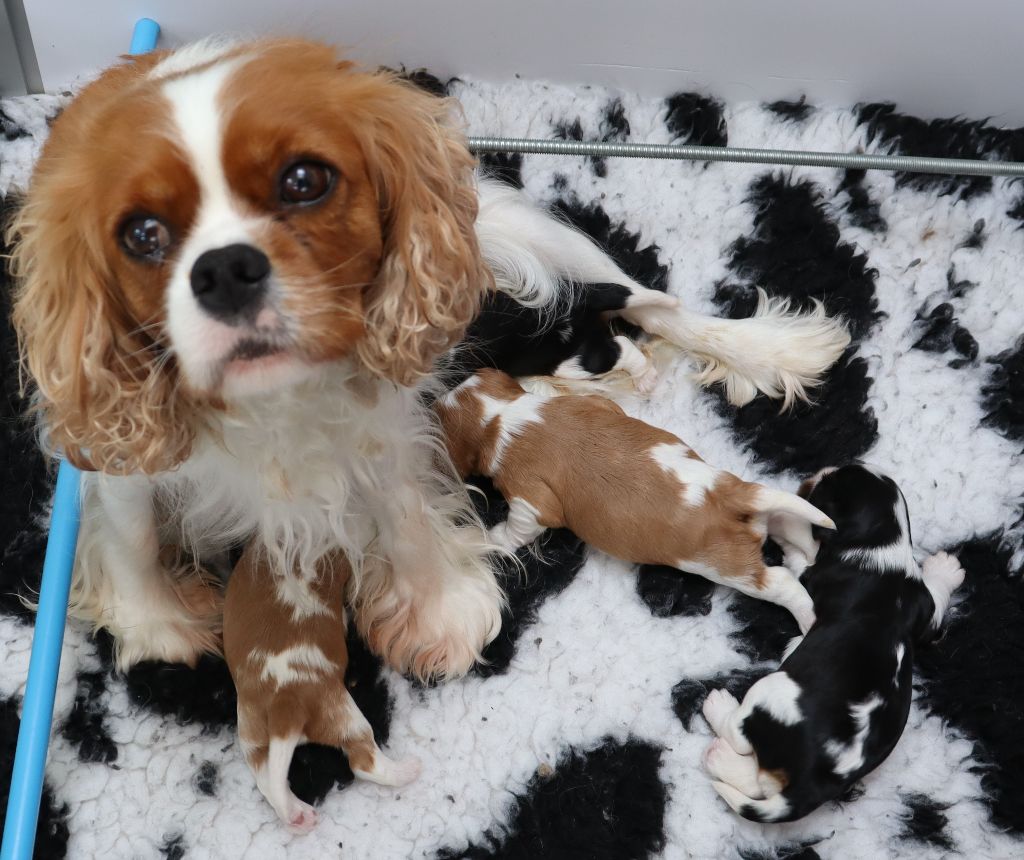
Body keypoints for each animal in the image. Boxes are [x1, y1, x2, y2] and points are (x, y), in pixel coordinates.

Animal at [224, 544, 419, 831]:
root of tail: (285, 703)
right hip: (344, 714)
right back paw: (407, 771)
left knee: (267, 778)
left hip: (251, 732)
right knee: (363, 761)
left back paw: (297, 813)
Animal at [432, 368, 831, 630]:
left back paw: (807, 620)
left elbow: (518, 526)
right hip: (764, 509)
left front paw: (493, 538)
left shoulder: (530, 498)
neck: (503, 414)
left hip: (730, 567)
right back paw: (801, 551)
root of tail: (730, 495)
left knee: (780, 584)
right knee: (792, 530)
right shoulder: (595, 404)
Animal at [700, 466, 962, 823]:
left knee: (740, 735)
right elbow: (936, 600)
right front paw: (946, 568)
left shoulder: (813, 573)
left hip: (772, 691)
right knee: (760, 783)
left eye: (825, 486)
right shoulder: (924, 611)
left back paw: (718, 710)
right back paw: (719, 758)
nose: (814, 474)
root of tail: (816, 781)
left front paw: (782, 522)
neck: (883, 544)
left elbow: (800, 556)